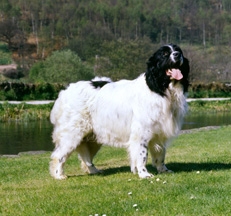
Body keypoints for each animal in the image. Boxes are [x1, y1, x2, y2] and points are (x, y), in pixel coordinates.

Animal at [49, 43, 189, 179]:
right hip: (72, 134)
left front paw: (163, 170)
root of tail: (65, 92)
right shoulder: (141, 132)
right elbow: (142, 155)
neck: (160, 88)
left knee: (86, 158)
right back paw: (59, 175)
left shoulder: (159, 132)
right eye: (165, 53)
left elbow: (161, 154)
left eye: (179, 51)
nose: (177, 55)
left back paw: (94, 171)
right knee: (59, 155)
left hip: (93, 137)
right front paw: (144, 173)